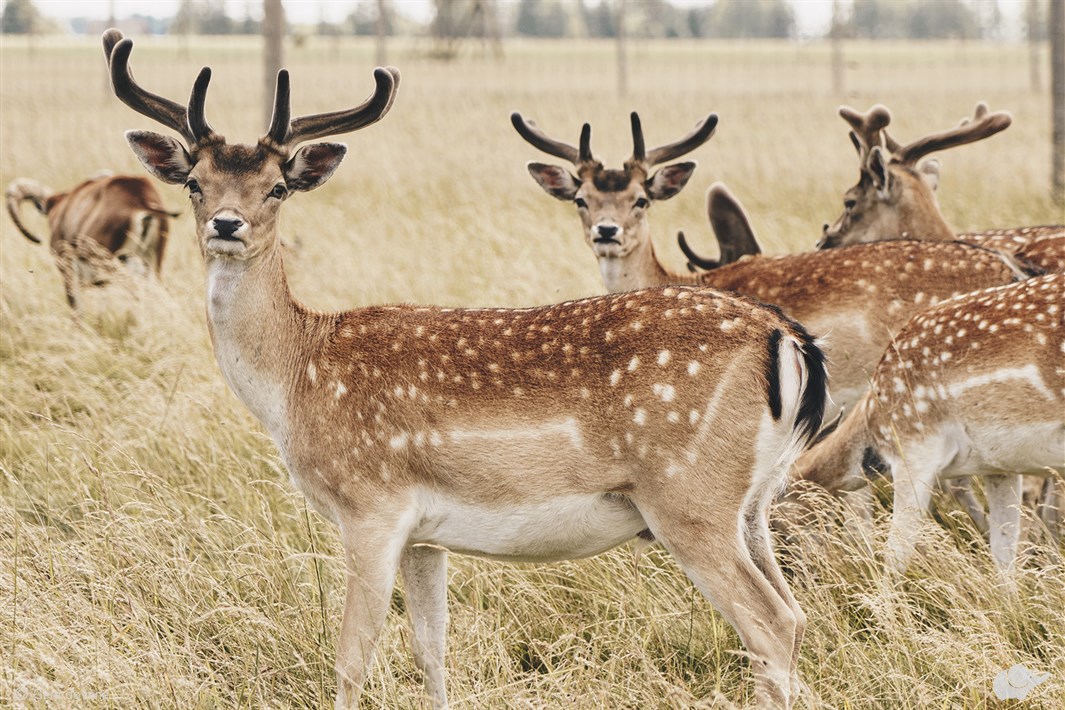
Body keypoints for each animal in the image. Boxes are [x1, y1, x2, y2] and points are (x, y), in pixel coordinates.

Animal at [103, 29, 830, 709]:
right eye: (194, 183)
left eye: (277, 187)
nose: (226, 224)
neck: (297, 376)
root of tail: (787, 339)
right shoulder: (426, 536)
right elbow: (432, 649)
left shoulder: (371, 504)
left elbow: (353, 656)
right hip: (752, 503)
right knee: (794, 616)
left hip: (689, 497)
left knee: (767, 624)